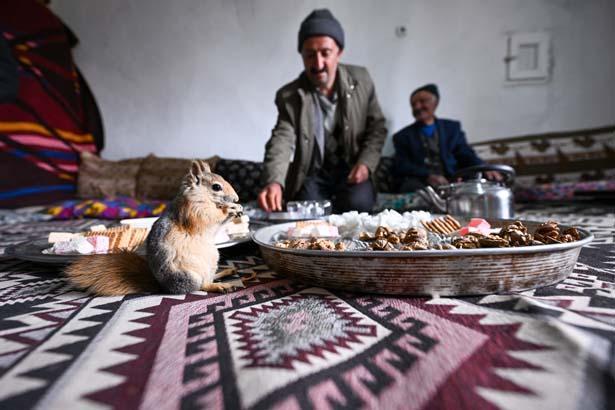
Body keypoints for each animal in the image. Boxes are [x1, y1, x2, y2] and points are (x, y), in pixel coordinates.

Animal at [63, 159, 243, 296]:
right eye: (216, 187)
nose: (236, 198)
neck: (201, 196)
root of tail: (164, 288)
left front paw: (238, 208)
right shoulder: (194, 211)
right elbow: (210, 218)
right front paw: (230, 209)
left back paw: (226, 272)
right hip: (191, 275)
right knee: (201, 286)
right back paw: (220, 286)